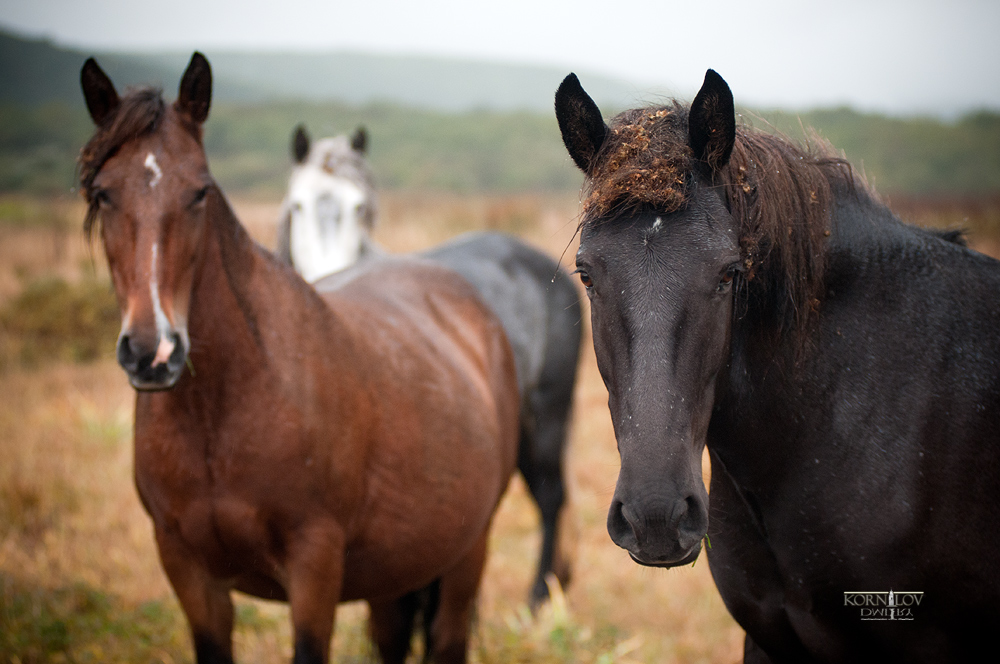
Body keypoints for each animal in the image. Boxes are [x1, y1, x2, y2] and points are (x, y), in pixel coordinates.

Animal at [79, 52, 520, 664]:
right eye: (102, 193)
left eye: (200, 191)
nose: (153, 351)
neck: (221, 410)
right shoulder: (187, 568)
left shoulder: (314, 564)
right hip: (396, 569)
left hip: (465, 553)